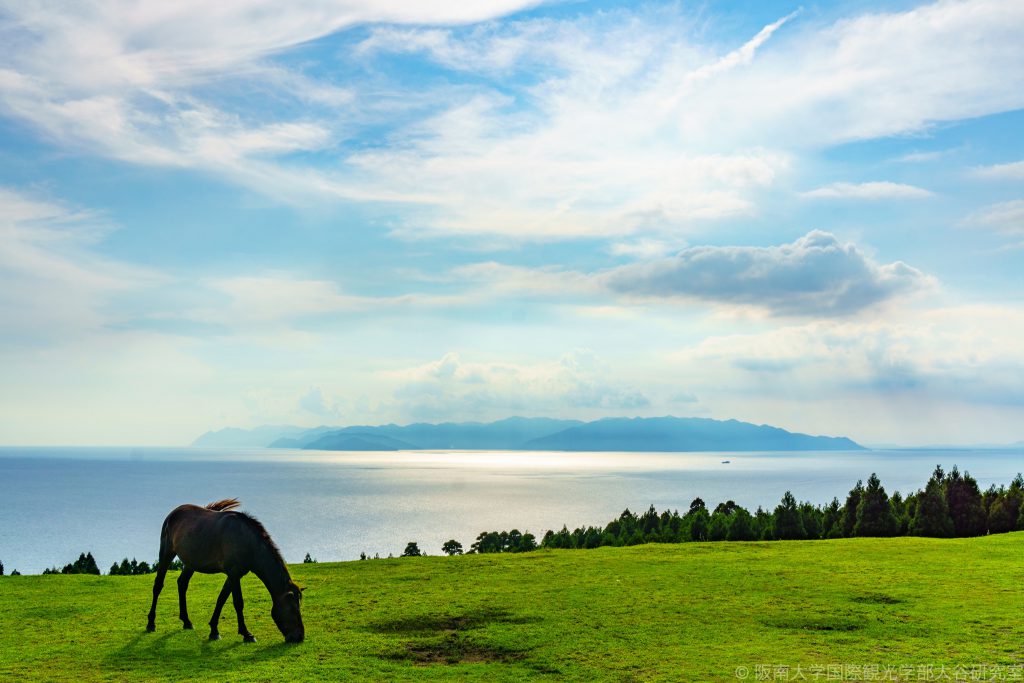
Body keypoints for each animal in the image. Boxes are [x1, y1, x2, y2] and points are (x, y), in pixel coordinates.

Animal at [146, 499, 303, 643]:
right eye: (293, 609)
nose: (299, 636)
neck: (247, 540)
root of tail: (173, 513)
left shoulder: (235, 574)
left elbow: (221, 599)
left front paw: (214, 630)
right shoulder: (233, 573)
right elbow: (238, 602)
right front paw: (246, 633)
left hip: (190, 563)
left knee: (182, 584)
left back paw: (186, 621)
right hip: (166, 553)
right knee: (158, 585)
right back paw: (151, 623)